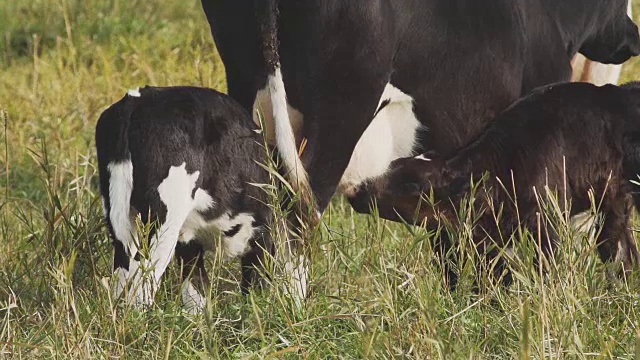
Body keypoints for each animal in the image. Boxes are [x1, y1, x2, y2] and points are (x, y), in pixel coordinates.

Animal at [94, 86, 306, 310]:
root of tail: (137, 99)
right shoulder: (262, 236)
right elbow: (255, 293)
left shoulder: (188, 244)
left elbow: (197, 299)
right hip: (163, 221)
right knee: (141, 291)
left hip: (122, 224)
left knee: (120, 286)